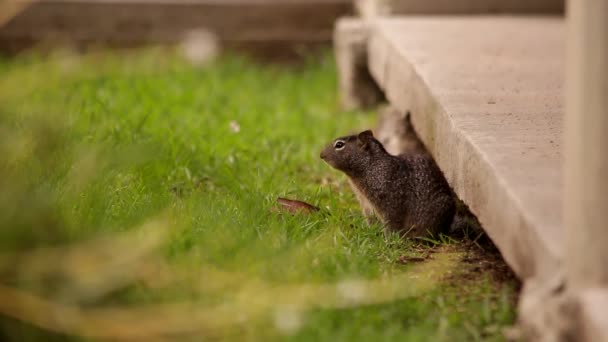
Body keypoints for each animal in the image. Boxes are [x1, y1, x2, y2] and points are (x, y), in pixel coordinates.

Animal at [318, 129, 456, 238]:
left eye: (339, 144)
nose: (321, 155)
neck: (372, 167)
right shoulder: (366, 206)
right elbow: (371, 220)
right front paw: (370, 233)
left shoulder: (391, 203)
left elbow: (392, 224)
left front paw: (388, 241)